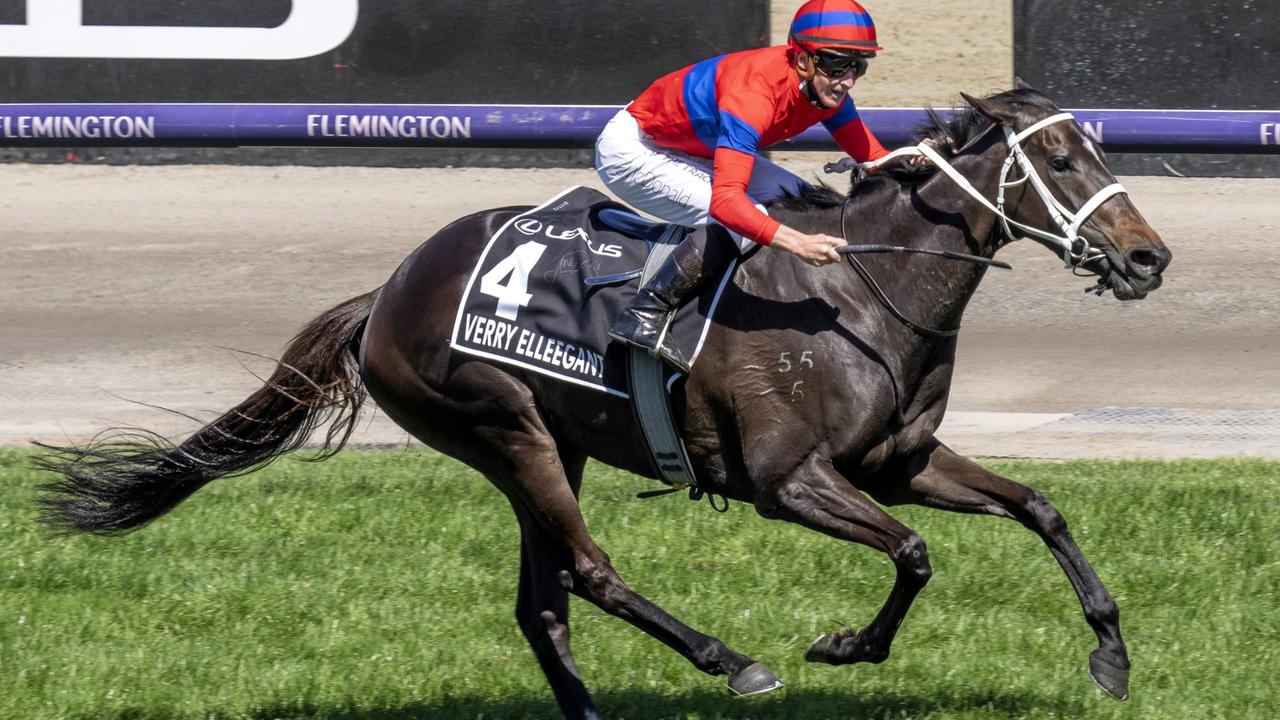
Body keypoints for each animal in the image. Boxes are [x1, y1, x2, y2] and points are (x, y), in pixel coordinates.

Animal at [37, 85, 1172, 717]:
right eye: (1060, 158)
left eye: (1102, 150)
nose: (1147, 258)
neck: (857, 292)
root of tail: (387, 292)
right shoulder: (789, 481)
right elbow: (913, 553)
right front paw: (845, 646)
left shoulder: (897, 463)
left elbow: (1038, 509)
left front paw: (1109, 655)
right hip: (503, 429)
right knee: (588, 573)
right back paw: (731, 662)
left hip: (550, 445)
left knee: (542, 603)